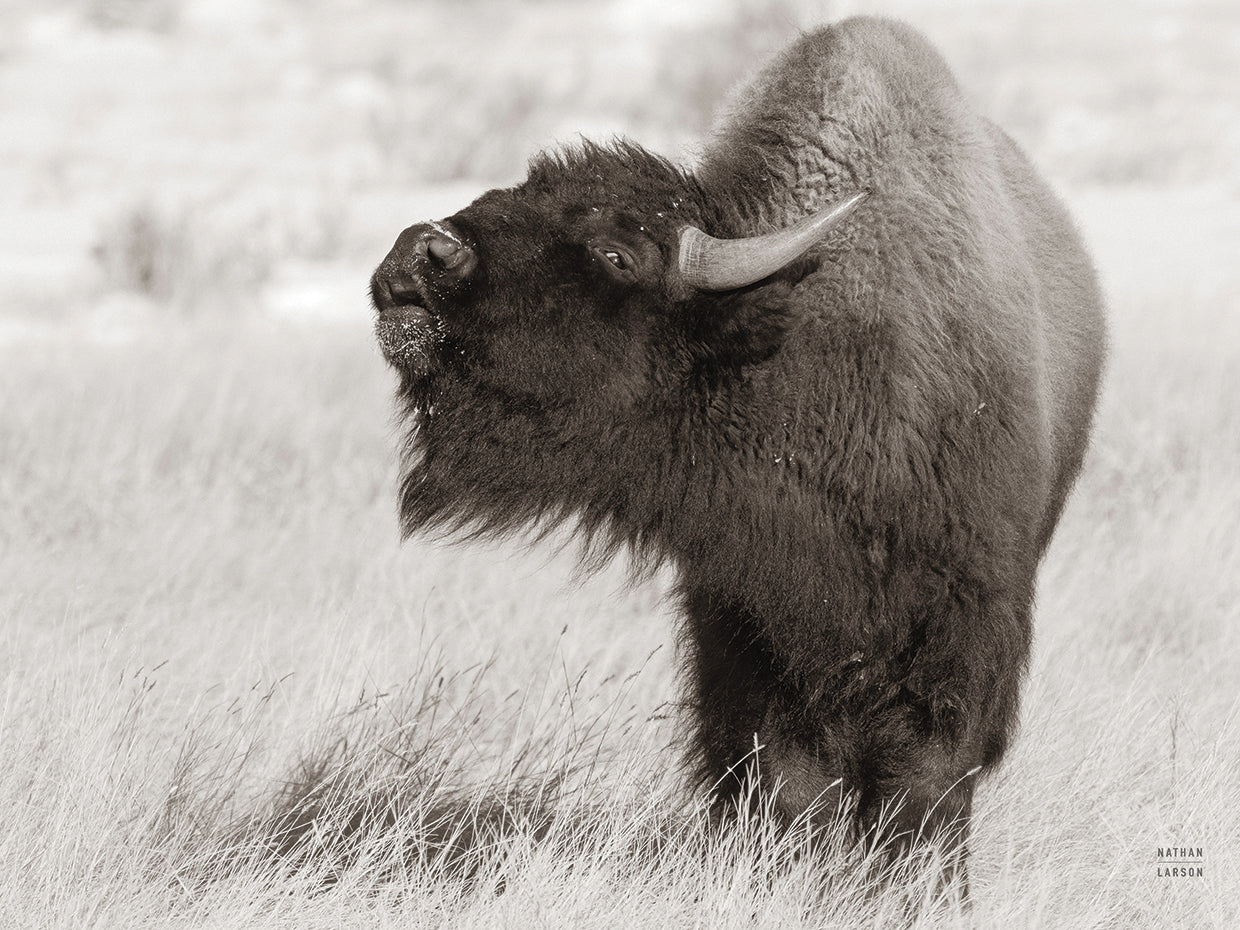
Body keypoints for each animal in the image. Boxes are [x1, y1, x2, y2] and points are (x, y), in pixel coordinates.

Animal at [370, 16, 1106, 886]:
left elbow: (923, 783)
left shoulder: (960, 634)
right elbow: (788, 781)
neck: (790, 343)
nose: (422, 252)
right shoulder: (739, 628)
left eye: (618, 254)